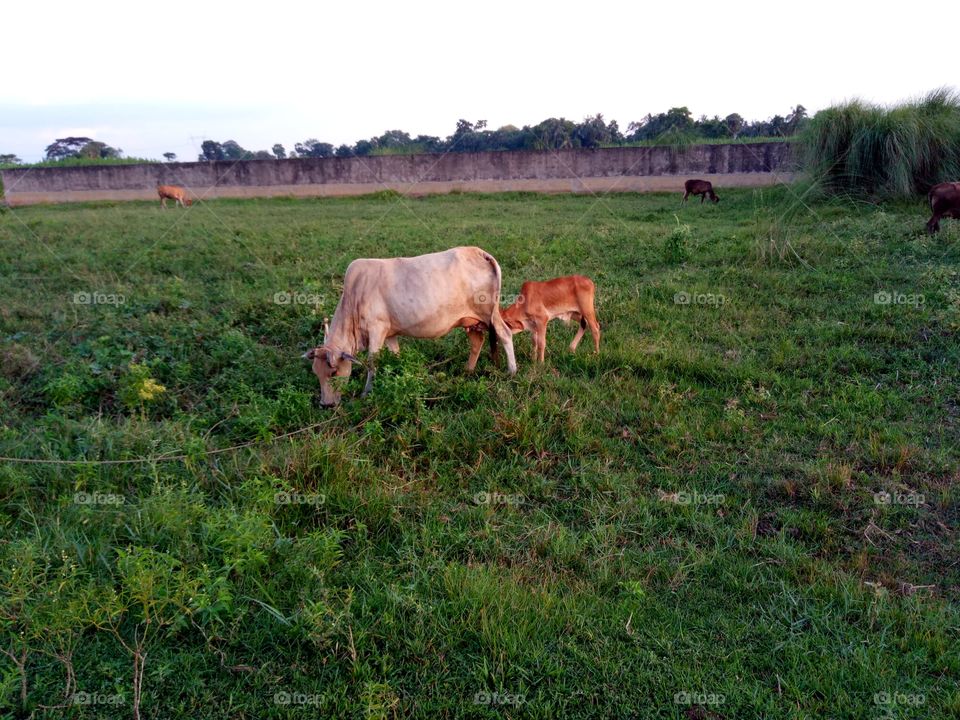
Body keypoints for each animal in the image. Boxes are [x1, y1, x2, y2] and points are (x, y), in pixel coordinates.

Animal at [306, 246, 516, 404]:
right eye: (315, 373)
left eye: (333, 372)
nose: (326, 404)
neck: (353, 298)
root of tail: (480, 252)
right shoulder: (390, 334)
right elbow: (395, 356)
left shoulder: (377, 329)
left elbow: (372, 363)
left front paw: (366, 393)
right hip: (470, 320)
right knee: (477, 341)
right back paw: (468, 371)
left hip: (490, 314)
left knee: (505, 334)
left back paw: (512, 371)